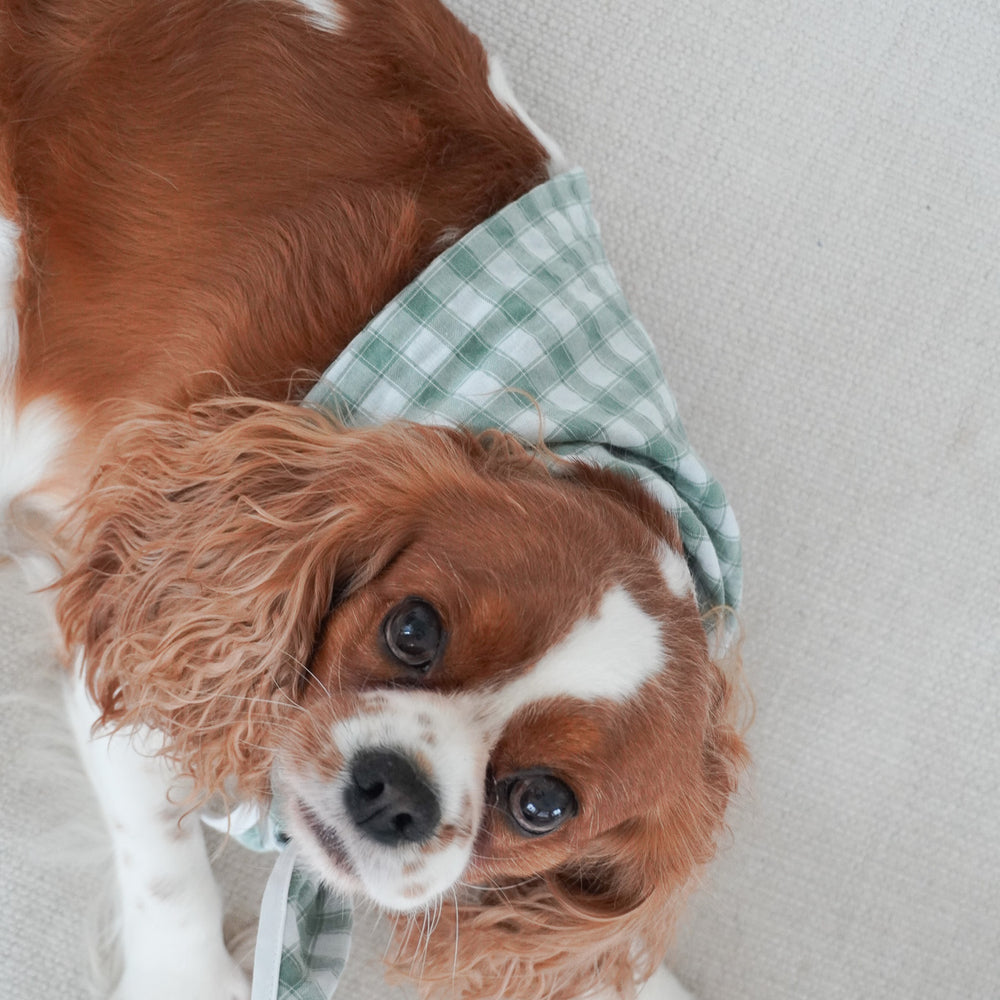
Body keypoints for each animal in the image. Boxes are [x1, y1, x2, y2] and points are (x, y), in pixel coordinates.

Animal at [1, 1, 752, 1000]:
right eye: (411, 629)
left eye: (542, 805)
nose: (396, 787)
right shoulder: (128, 587)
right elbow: (165, 848)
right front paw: (189, 974)